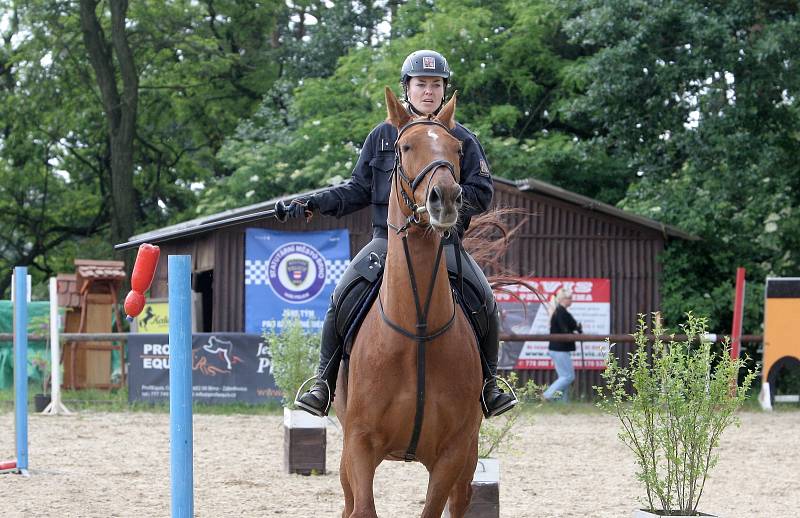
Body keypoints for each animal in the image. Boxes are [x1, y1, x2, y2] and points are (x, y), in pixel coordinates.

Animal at [332, 87, 482, 516]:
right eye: (404, 147)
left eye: (457, 149)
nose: (445, 198)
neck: (416, 330)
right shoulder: (359, 445)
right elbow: (364, 508)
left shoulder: (452, 453)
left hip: (468, 459)